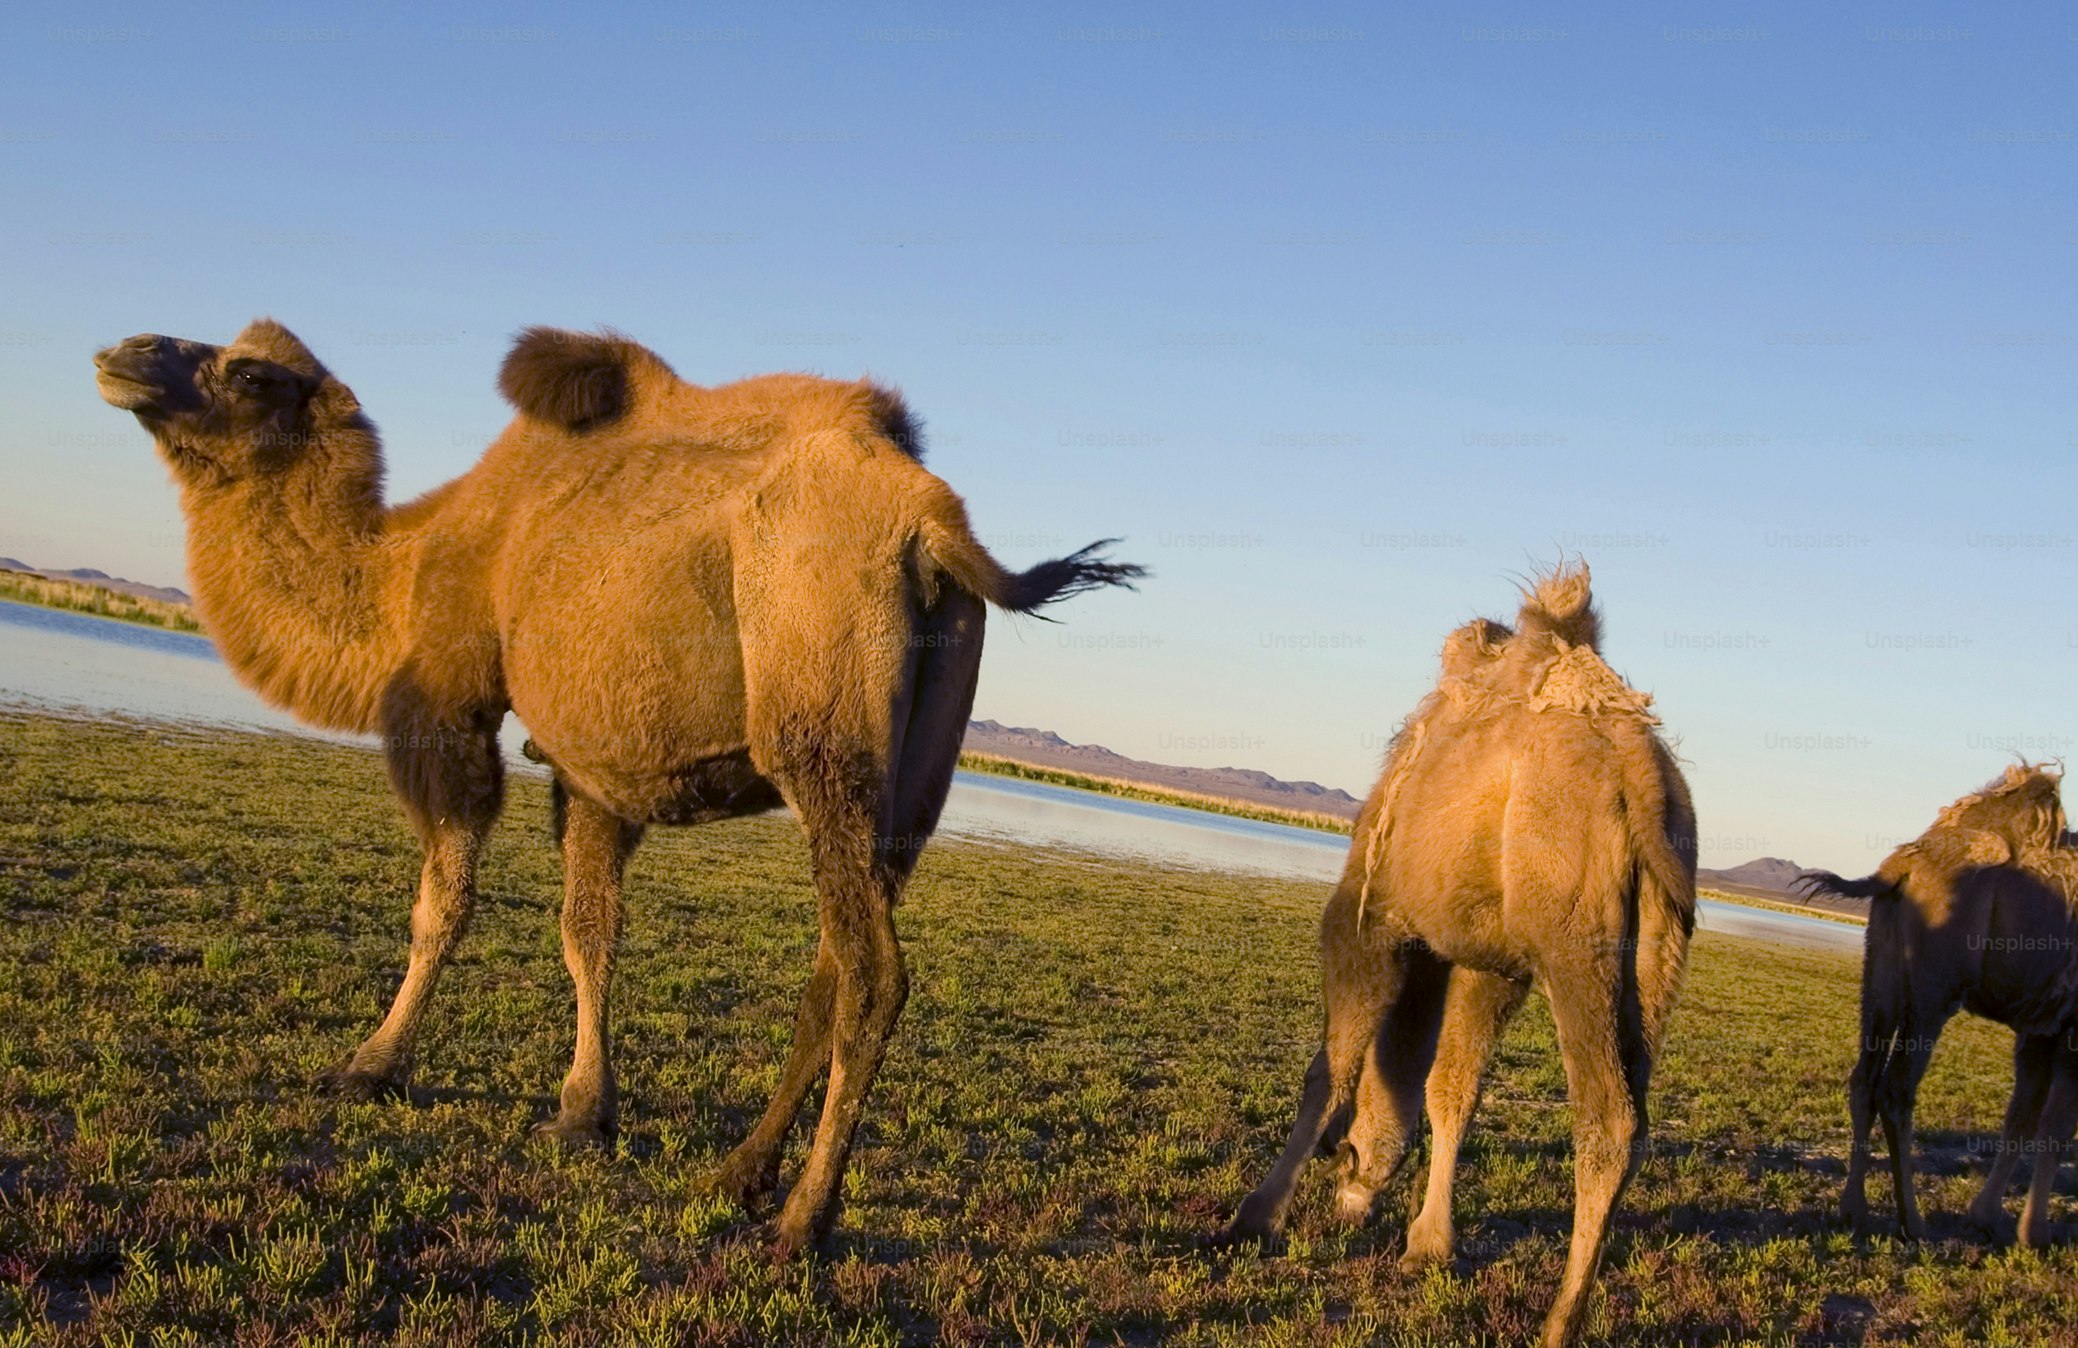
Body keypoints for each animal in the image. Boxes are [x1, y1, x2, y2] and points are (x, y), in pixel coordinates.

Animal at [93, 318, 1142, 1252]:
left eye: (250, 375)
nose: (125, 354)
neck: (412, 562)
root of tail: (934, 524)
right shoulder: (589, 767)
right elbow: (587, 932)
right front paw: (582, 1114)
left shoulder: (452, 701)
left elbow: (444, 906)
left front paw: (371, 1066)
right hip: (919, 769)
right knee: (834, 964)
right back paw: (737, 1175)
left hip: (822, 726)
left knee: (874, 975)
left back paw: (802, 1223)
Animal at [1228, 563, 1696, 1348]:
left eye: (1347, 1155)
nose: (1348, 1191)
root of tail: (1641, 774)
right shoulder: (1490, 962)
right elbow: (1452, 1091)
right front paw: (1428, 1248)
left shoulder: (1371, 918)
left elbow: (1331, 1070)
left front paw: (1252, 1221)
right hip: (1658, 953)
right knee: (1634, 1119)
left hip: (1575, 942)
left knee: (1608, 1121)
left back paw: (1558, 1325)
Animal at [1801, 764, 2078, 1248]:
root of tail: (1899, 868)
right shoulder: (2073, 1026)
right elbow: (2055, 1127)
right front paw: (2035, 1234)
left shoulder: (2041, 1028)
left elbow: (2022, 1119)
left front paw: (1987, 1218)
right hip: (1933, 995)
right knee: (1896, 1088)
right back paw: (1913, 1221)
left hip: (1881, 980)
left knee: (1863, 1080)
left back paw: (1854, 1211)